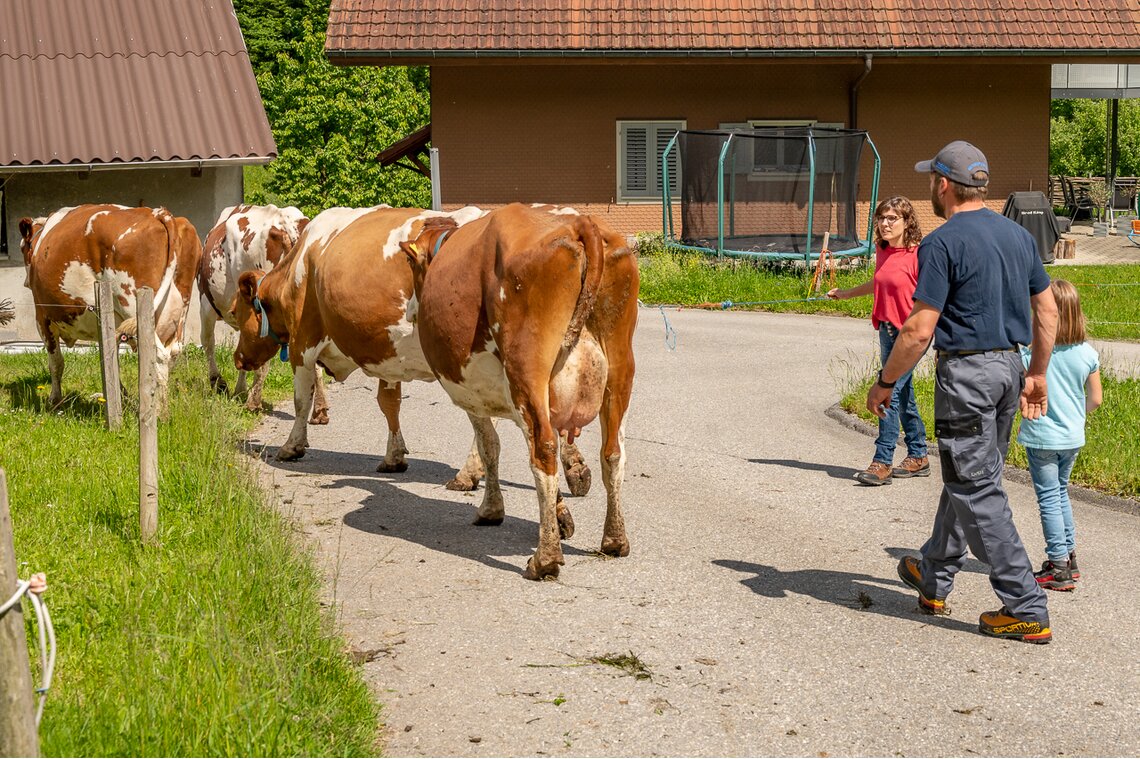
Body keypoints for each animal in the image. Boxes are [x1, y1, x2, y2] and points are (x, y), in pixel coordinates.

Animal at [20, 203, 202, 410]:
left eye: (22, 248)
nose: (26, 282)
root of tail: (157, 213)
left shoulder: (42, 316)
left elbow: (56, 362)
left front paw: (55, 400)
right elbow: (109, 361)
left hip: (135, 308)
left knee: (159, 355)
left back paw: (158, 410)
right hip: (179, 315)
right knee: (172, 354)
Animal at [197, 202, 326, 414]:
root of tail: (284, 221)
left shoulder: (205, 305)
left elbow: (208, 342)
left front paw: (219, 383)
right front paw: (239, 389)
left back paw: (253, 401)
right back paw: (320, 408)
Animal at [405, 200, 642, 578]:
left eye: (412, 264)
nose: (411, 310)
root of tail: (579, 222)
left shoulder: (473, 395)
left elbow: (489, 447)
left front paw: (491, 510)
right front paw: (563, 513)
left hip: (527, 370)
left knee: (542, 452)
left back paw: (545, 558)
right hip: (619, 371)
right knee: (612, 453)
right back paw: (614, 540)